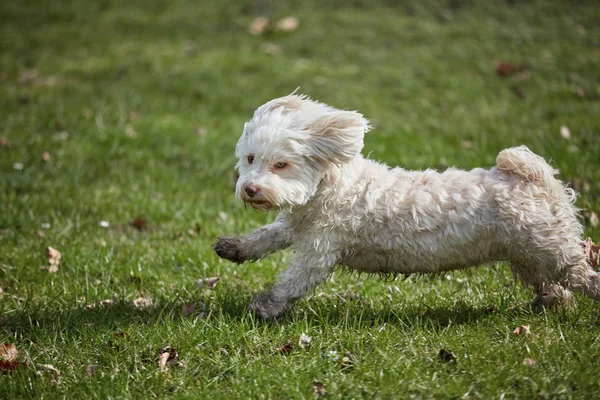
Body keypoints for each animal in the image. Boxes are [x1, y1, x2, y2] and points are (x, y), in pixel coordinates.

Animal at [216, 94, 600, 318]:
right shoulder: (295, 226)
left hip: (552, 250)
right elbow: (267, 236)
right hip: (527, 253)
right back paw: (547, 303)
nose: (250, 189)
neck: (329, 188)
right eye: (250, 158)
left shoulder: (320, 248)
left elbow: (294, 280)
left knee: (584, 277)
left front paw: (266, 306)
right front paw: (234, 247)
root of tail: (534, 178)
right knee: (551, 284)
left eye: (281, 165)